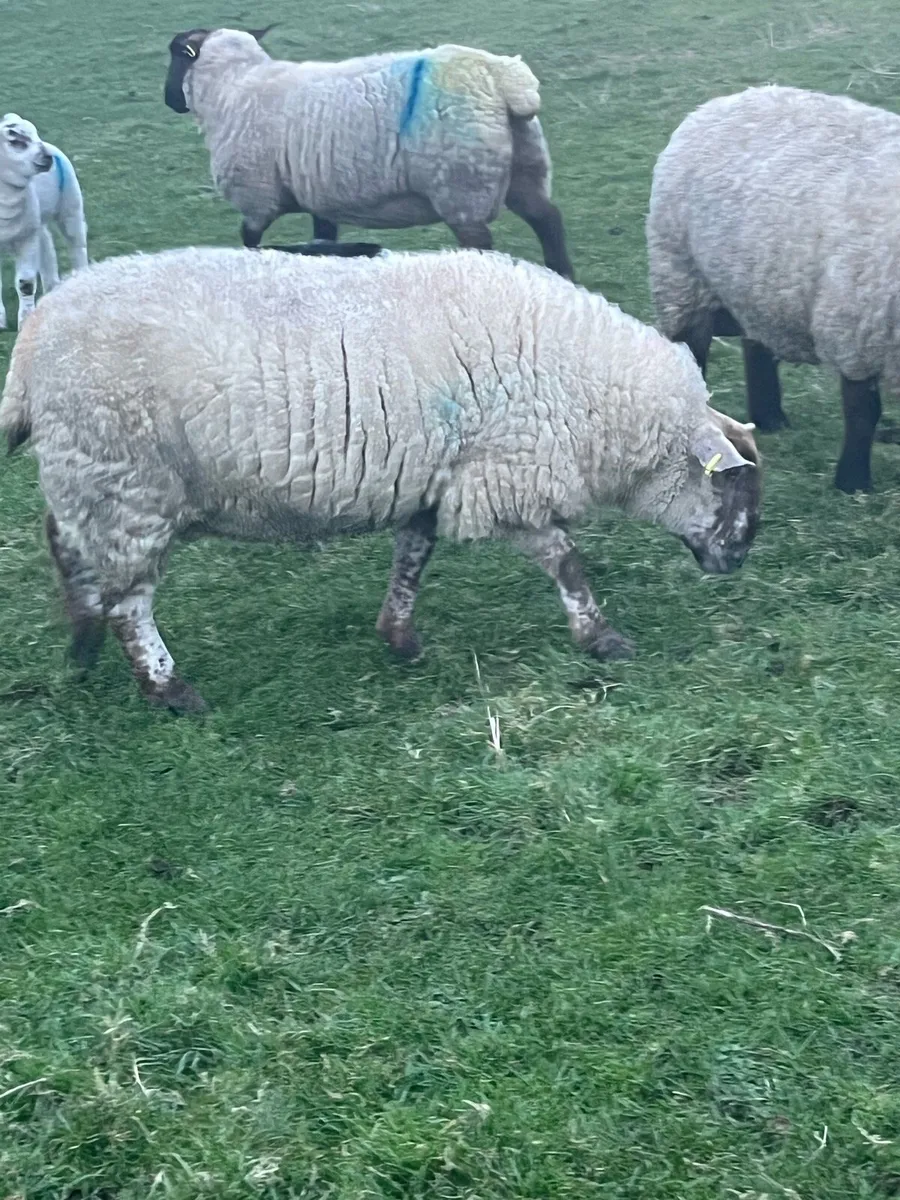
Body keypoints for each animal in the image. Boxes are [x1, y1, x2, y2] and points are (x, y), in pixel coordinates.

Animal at [0, 114, 88, 330]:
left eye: (34, 132)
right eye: (14, 140)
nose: (47, 158)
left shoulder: (27, 238)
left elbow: (25, 283)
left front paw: (25, 320)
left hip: (70, 207)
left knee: (77, 246)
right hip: (38, 222)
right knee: (47, 246)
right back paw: (52, 288)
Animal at [1, 246, 760, 714]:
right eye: (728, 488)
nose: (737, 560)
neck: (595, 396)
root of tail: (35, 335)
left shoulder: (436, 478)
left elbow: (412, 558)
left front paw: (399, 637)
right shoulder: (505, 477)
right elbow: (565, 560)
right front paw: (600, 638)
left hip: (90, 474)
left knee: (65, 542)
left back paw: (81, 642)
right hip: (124, 479)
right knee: (131, 601)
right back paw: (167, 688)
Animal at [163, 27, 574, 279]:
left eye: (176, 55)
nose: (170, 101)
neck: (232, 86)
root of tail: (504, 79)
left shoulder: (256, 198)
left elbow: (249, 241)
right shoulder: (317, 196)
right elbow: (322, 238)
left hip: (462, 187)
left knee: (483, 243)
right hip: (525, 169)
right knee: (548, 219)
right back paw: (564, 276)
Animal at [646, 83, 900, 493]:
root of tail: (721, 102)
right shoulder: (854, 330)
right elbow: (863, 412)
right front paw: (853, 482)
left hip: (758, 280)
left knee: (757, 346)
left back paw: (769, 418)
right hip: (681, 275)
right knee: (693, 350)